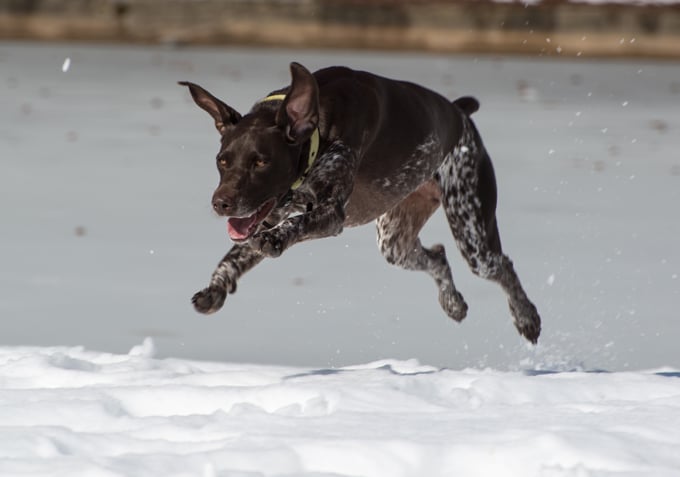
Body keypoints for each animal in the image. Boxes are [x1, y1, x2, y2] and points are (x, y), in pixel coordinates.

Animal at [181, 62, 540, 342]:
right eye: (222, 160)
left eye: (260, 162)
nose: (221, 203)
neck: (319, 128)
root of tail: (460, 112)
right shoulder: (263, 217)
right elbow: (234, 256)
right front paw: (215, 289)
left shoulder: (329, 214)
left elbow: (292, 226)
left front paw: (276, 238)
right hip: (394, 242)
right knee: (438, 257)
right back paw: (453, 303)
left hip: (473, 234)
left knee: (502, 266)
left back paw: (527, 318)